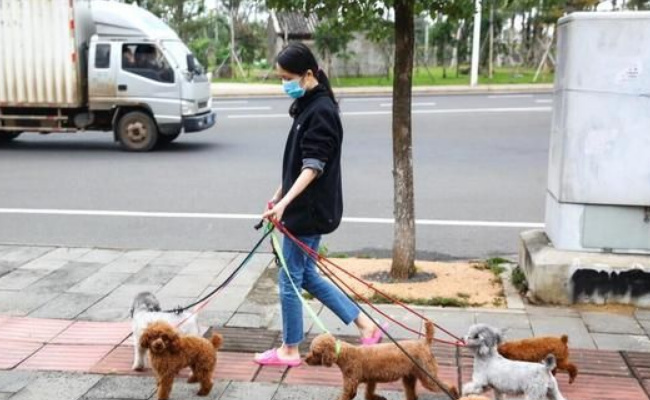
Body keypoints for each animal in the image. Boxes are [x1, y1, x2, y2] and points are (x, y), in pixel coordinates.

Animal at [304, 320, 456, 400]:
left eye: (314, 352)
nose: (305, 359)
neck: (344, 354)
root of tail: (424, 343)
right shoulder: (371, 379)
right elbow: (368, 393)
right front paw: (378, 398)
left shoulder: (351, 383)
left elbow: (347, 395)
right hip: (410, 377)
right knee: (412, 394)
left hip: (427, 375)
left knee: (446, 386)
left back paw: (455, 393)